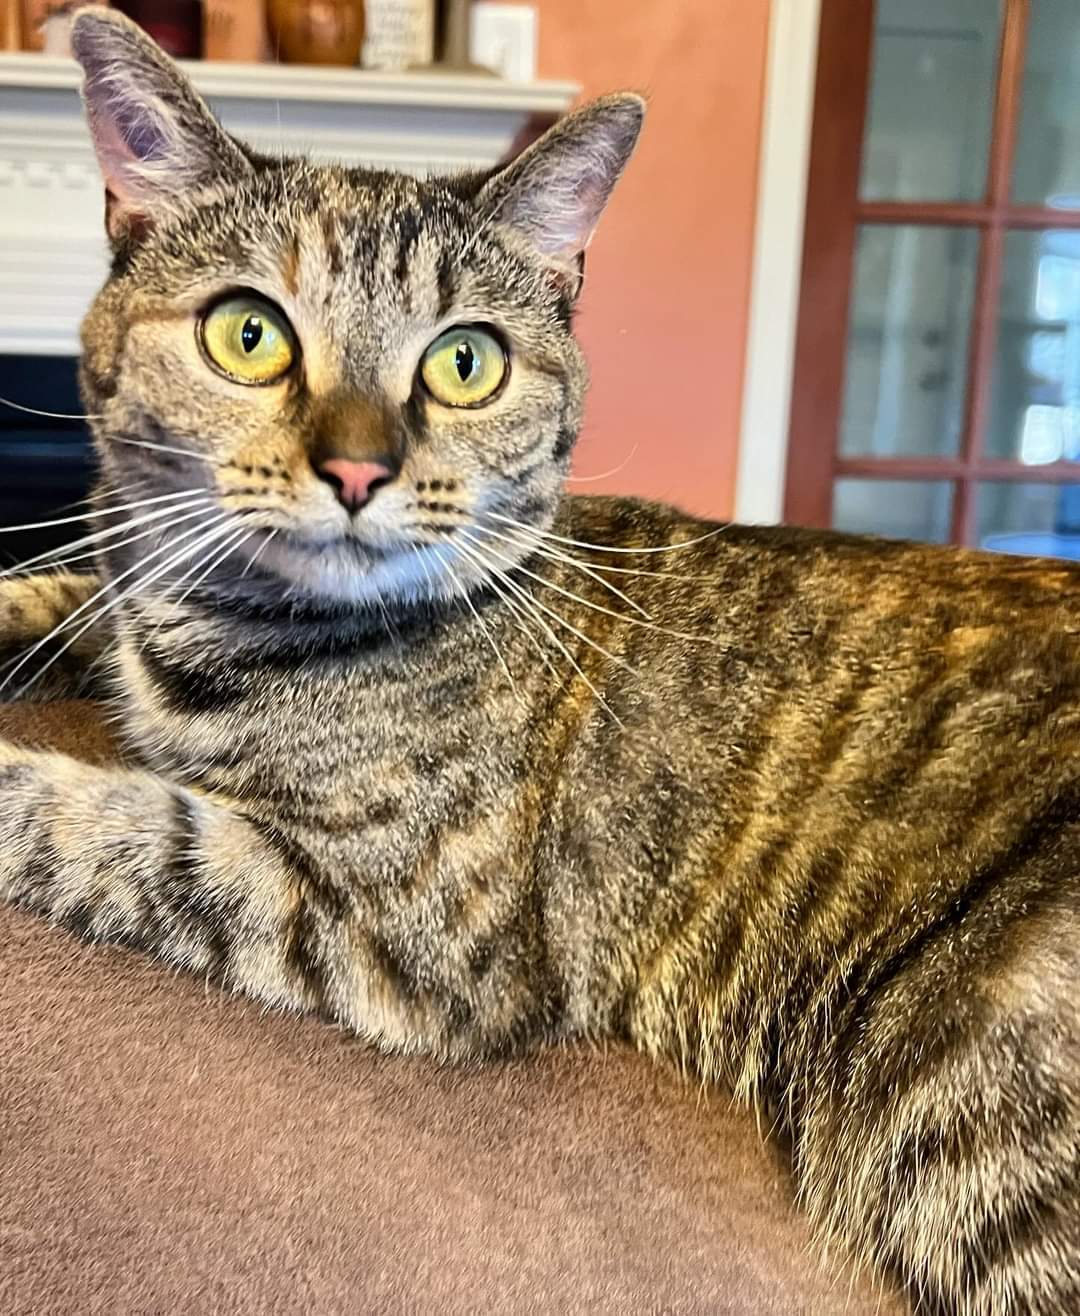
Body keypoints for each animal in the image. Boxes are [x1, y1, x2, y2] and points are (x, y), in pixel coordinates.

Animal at [2, 7, 1078, 1305]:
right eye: (246, 333)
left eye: (466, 361)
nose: (358, 469)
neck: (212, 626)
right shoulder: (113, 596)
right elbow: (55, 596)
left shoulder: (405, 925)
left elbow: (118, 825)